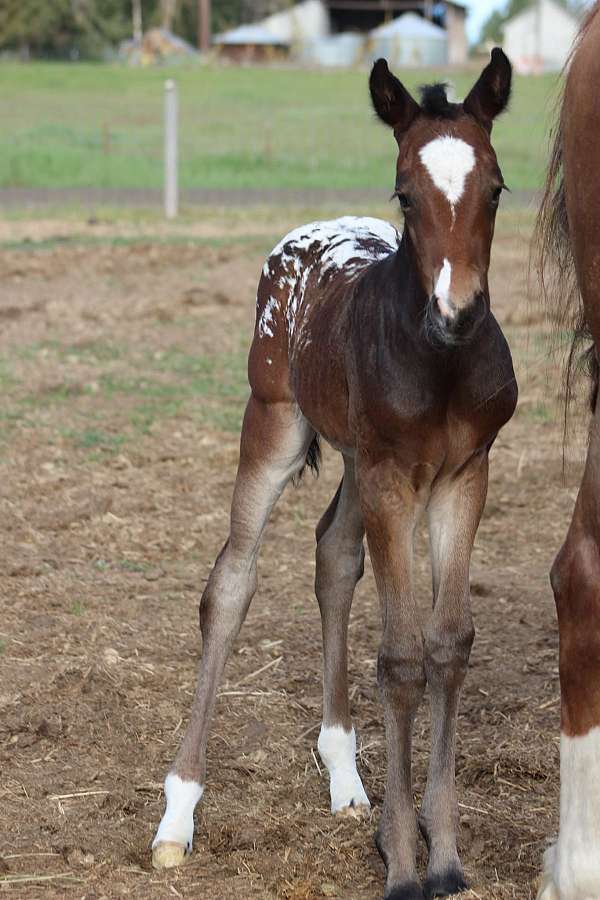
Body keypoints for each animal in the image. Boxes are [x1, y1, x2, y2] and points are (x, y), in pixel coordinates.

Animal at [150, 51, 516, 900]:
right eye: (406, 192)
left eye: (495, 187)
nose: (458, 311)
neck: (440, 362)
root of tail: (309, 231)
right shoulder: (390, 477)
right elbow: (403, 656)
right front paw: (404, 864)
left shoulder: (463, 477)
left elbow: (448, 643)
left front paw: (443, 854)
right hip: (276, 423)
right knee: (232, 580)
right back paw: (177, 815)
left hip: (353, 459)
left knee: (332, 556)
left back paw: (346, 776)